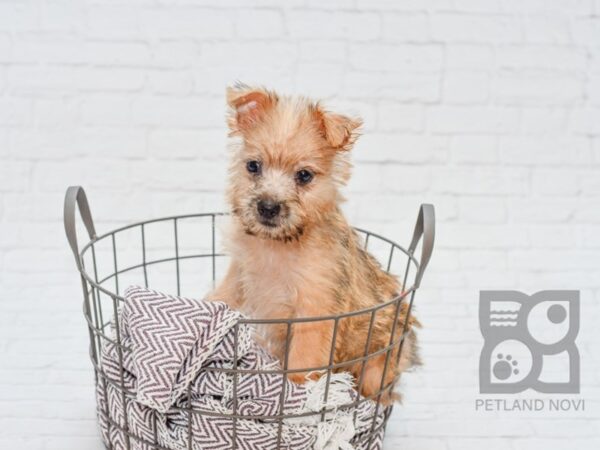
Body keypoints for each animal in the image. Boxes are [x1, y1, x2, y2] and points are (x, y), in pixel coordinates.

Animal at [209, 84, 420, 400]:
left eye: (304, 175)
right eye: (253, 166)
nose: (268, 207)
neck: (279, 245)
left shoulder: (313, 312)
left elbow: (301, 363)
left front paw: (295, 396)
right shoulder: (239, 277)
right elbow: (219, 299)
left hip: (376, 368)